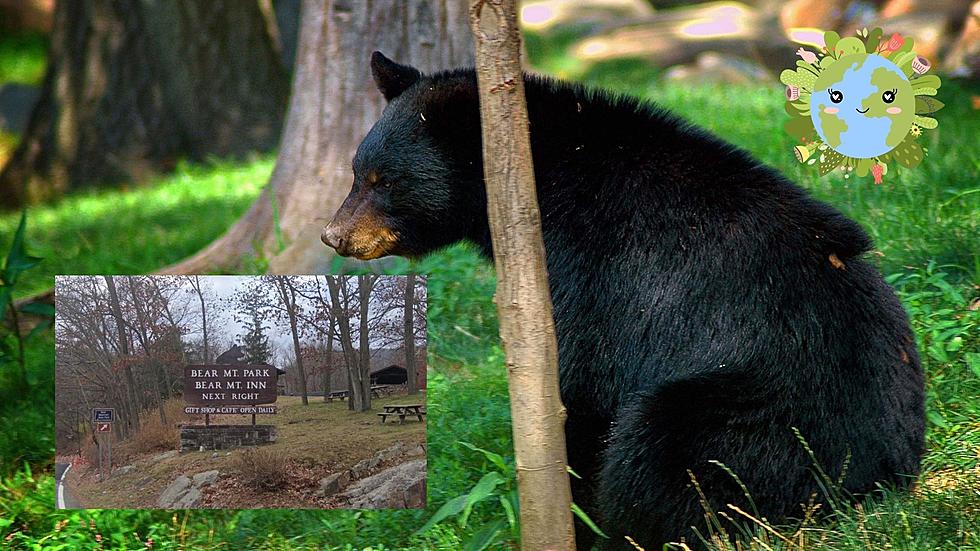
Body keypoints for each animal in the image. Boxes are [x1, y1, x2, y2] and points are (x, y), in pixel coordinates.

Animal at [324, 52, 928, 551]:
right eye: (356, 171)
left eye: (382, 180)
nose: (334, 236)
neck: (537, 181)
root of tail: (881, 481)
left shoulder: (591, 270)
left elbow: (581, 385)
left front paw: (572, 516)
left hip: (764, 424)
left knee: (660, 454)